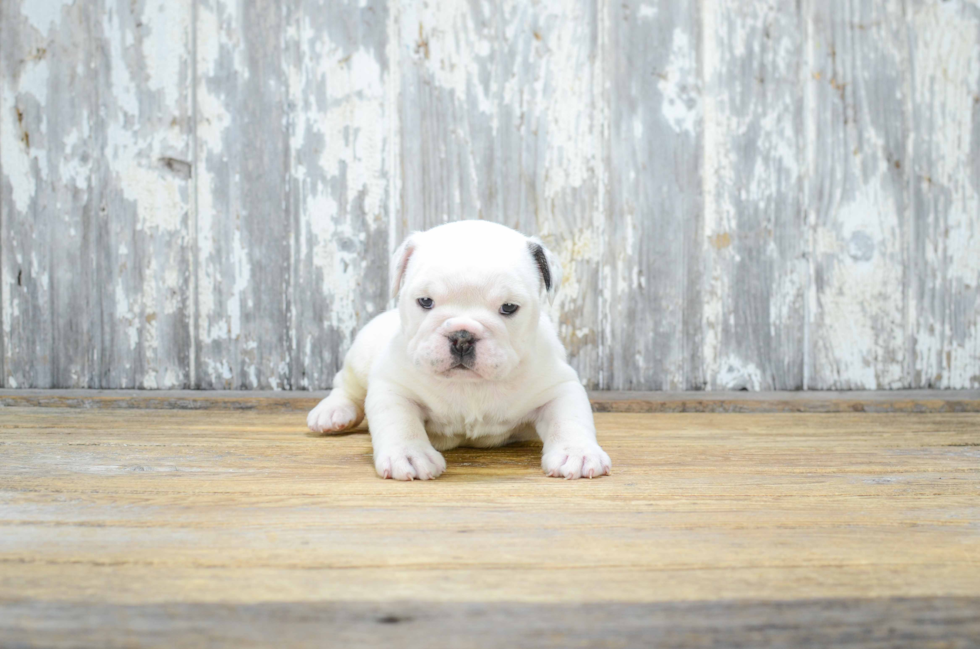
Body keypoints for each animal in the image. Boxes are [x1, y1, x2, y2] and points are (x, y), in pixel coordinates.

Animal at [308, 220, 612, 478]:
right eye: (425, 301)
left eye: (509, 307)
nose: (462, 337)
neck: (470, 385)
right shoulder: (393, 387)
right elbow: (400, 422)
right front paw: (408, 455)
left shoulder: (558, 387)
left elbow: (569, 419)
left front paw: (578, 453)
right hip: (360, 356)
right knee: (346, 386)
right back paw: (333, 413)